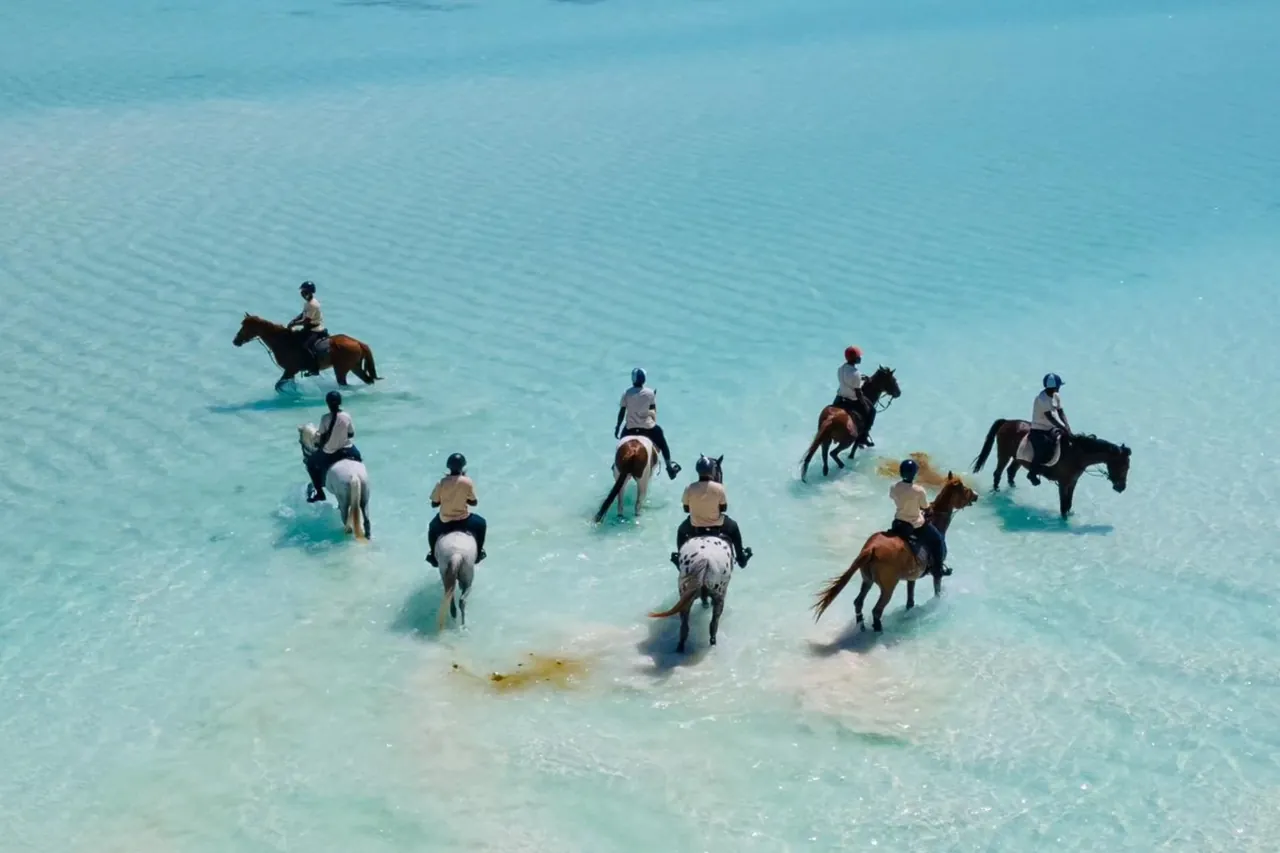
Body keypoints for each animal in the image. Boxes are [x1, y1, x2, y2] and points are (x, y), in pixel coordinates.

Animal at [234, 313, 381, 393]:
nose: (235, 341)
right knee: (368, 380)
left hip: (341, 370)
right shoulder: (290, 371)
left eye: (244, 326)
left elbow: (278, 385)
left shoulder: (290, 369)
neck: (283, 341)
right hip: (355, 367)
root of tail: (358, 342)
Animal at [647, 455, 734, 653]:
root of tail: (705, 559)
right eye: (720, 471)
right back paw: (712, 642)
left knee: (684, 624)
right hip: (720, 593)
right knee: (713, 623)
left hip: (685, 591)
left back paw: (680, 646)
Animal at [812, 473, 978, 632]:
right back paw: (878, 630)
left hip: (867, 580)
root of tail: (871, 549)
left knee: (858, 602)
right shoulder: (936, 574)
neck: (935, 521)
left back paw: (862, 625)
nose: (976, 495)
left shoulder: (912, 577)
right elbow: (936, 592)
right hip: (888, 588)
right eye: (964, 489)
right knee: (877, 610)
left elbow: (910, 599)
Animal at [970, 419, 1131, 517]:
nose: (1121, 487)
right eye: (1124, 466)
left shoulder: (1072, 482)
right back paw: (996, 491)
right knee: (998, 473)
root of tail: (1007, 421)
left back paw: (1013, 488)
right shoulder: (1063, 483)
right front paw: (1064, 519)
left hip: (1018, 458)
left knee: (1011, 472)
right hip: (1004, 454)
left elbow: (1069, 502)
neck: (1076, 453)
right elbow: (1063, 504)